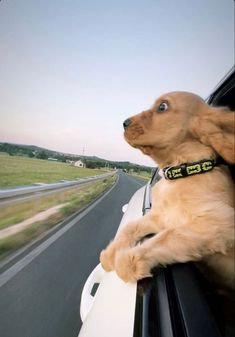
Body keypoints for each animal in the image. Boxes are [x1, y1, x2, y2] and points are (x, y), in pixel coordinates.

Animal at [99, 91, 235, 288]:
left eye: (162, 106)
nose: (124, 123)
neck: (182, 173)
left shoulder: (220, 222)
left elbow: (167, 237)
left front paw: (126, 263)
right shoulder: (160, 216)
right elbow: (130, 226)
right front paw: (110, 254)